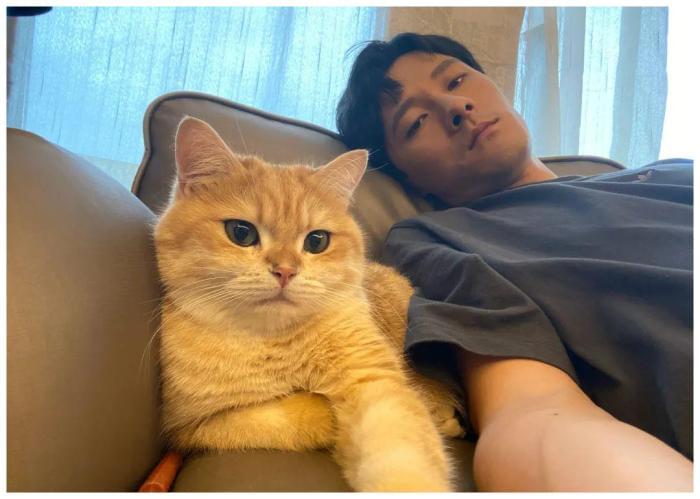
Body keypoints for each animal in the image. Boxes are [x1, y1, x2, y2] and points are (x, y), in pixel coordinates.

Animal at [153, 116, 464, 492]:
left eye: (317, 241)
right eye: (241, 233)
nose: (285, 270)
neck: (275, 344)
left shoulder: (373, 381)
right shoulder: (191, 427)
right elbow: (286, 415)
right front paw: (325, 417)